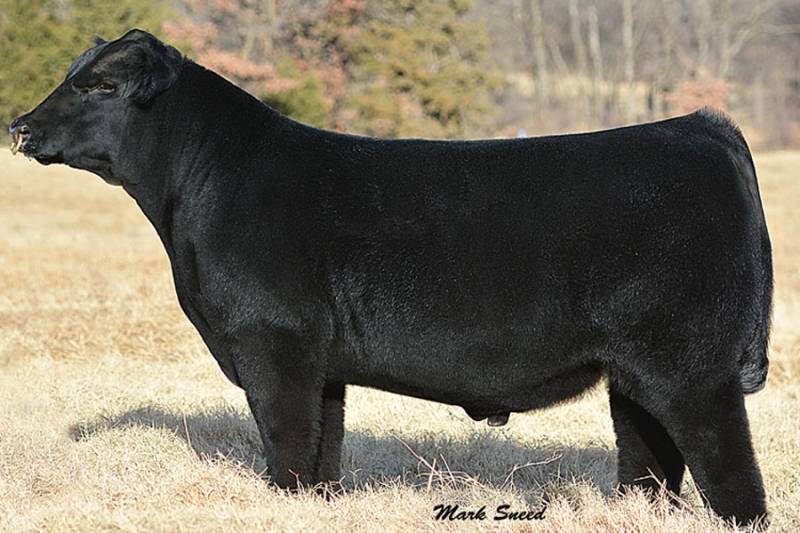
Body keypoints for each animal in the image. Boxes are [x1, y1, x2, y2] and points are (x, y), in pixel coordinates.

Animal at [9, 29, 772, 528]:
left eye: (99, 85)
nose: (19, 126)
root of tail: (698, 126)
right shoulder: (320, 361)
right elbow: (323, 446)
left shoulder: (272, 343)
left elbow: (286, 439)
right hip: (636, 372)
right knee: (649, 456)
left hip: (691, 368)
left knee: (731, 474)